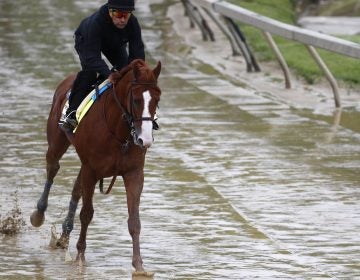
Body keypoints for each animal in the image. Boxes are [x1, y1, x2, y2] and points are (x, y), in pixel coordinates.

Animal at [29, 59, 162, 274]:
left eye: (157, 100)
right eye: (135, 100)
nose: (145, 139)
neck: (119, 133)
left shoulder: (133, 173)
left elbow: (134, 220)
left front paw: (139, 265)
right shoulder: (91, 170)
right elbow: (86, 214)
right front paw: (80, 257)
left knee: (76, 188)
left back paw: (64, 235)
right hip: (57, 142)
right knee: (52, 168)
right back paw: (39, 214)